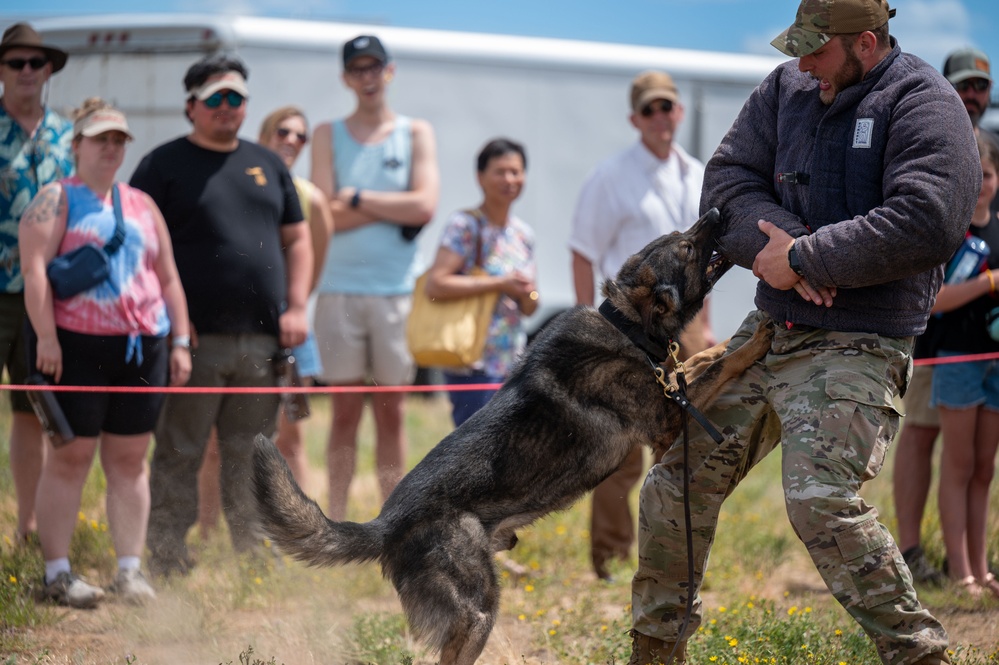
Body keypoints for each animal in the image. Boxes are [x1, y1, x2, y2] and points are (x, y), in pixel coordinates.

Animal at [250, 209, 772, 664]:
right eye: (688, 247)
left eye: (683, 234)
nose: (718, 211)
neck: (626, 322)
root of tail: (385, 522)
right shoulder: (667, 424)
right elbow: (718, 367)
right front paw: (755, 341)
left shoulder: (671, 391)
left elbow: (698, 360)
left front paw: (727, 341)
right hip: (478, 610)